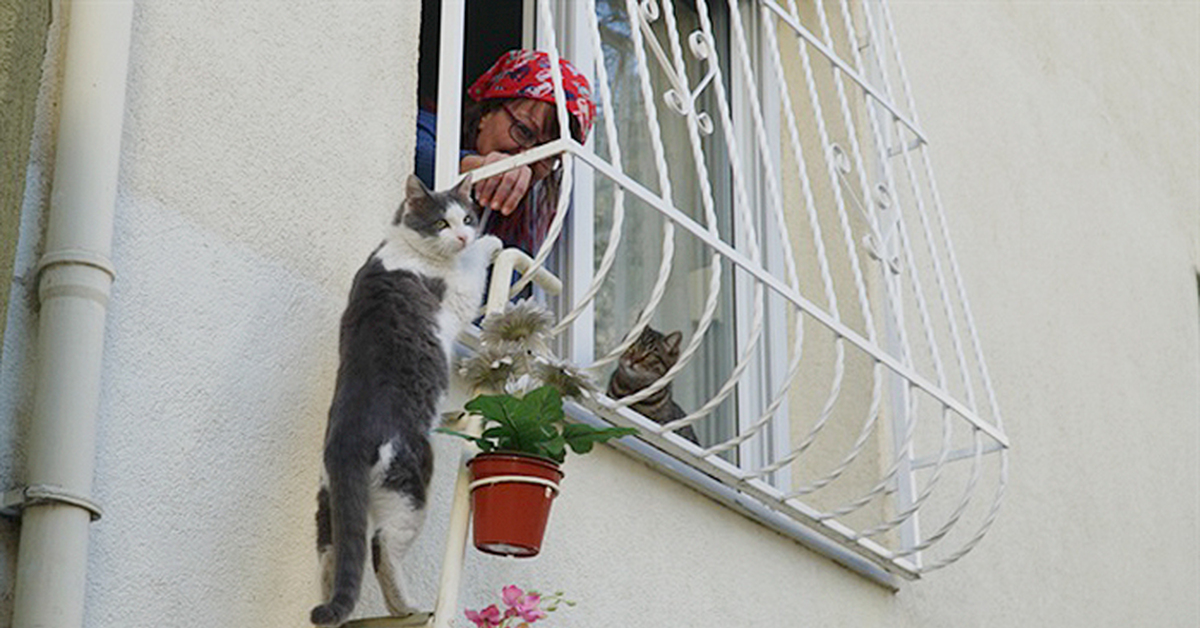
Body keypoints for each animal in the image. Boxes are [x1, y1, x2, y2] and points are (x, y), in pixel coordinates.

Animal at [312, 174, 504, 624]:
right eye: (441, 223)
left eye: (467, 217)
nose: (465, 234)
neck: (405, 245)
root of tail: (347, 443)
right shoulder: (457, 293)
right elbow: (474, 270)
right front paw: (491, 243)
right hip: (410, 487)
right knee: (382, 547)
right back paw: (407, 607)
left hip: (328, 506)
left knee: (333, 556)